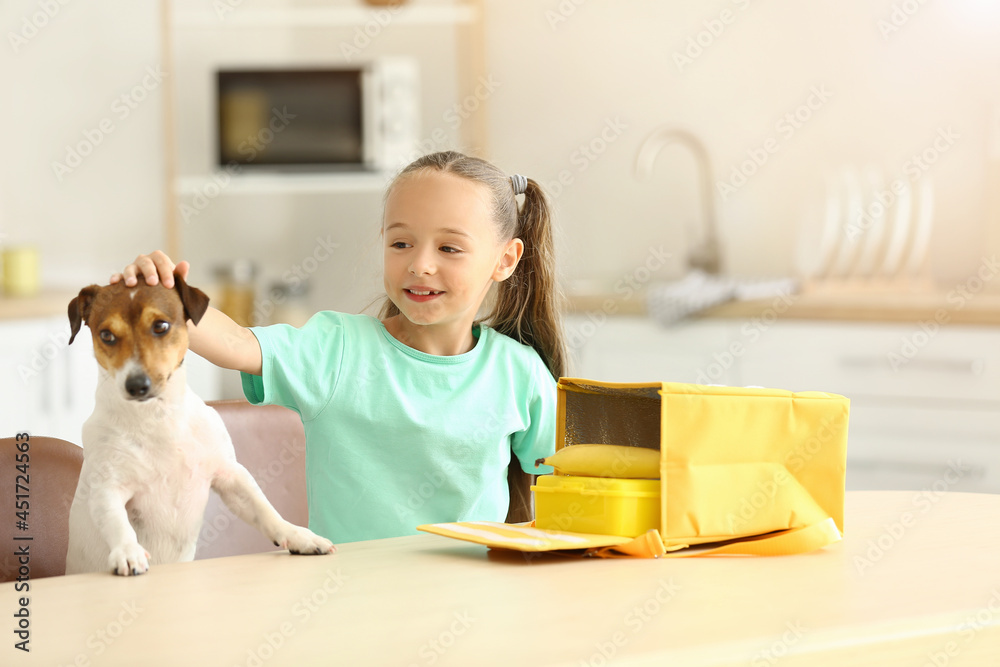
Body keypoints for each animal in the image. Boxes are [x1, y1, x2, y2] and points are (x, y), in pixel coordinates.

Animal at [63, 274, 336, 576]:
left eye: (160, 326)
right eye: (106, 335)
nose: (136, 385)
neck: (159, 417)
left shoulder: (231, 476)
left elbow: (264, 509)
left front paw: (298, 535)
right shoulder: (107, 489)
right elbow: (117, 523)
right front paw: (127, 552)